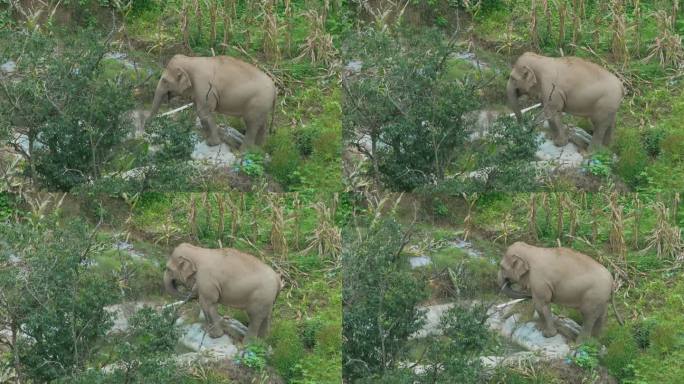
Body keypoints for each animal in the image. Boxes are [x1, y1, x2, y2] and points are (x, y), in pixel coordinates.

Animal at [148, 54, 276, 149]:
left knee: (251, 125)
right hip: (263, 106)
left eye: (164, 81)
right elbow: (200, 111)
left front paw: (212, 143)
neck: (190, 59)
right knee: (262, 124)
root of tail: (275, 88)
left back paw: (243, 151)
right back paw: (258, 149)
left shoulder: (203, 85)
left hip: (257, 103)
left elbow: (203, 112)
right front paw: (204, 133)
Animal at [494, 242, 624, 340]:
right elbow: (540, 304)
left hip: (594, 296)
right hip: (602, 298)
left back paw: (579, 343)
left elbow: (541, 304)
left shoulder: (539, 280)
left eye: (501, 267)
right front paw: (540, 327)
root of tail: (612, 282)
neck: (531, 249)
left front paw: (547, 334)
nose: (503, 316)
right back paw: (595, 341)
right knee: (602, 316)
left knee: (588, 317)